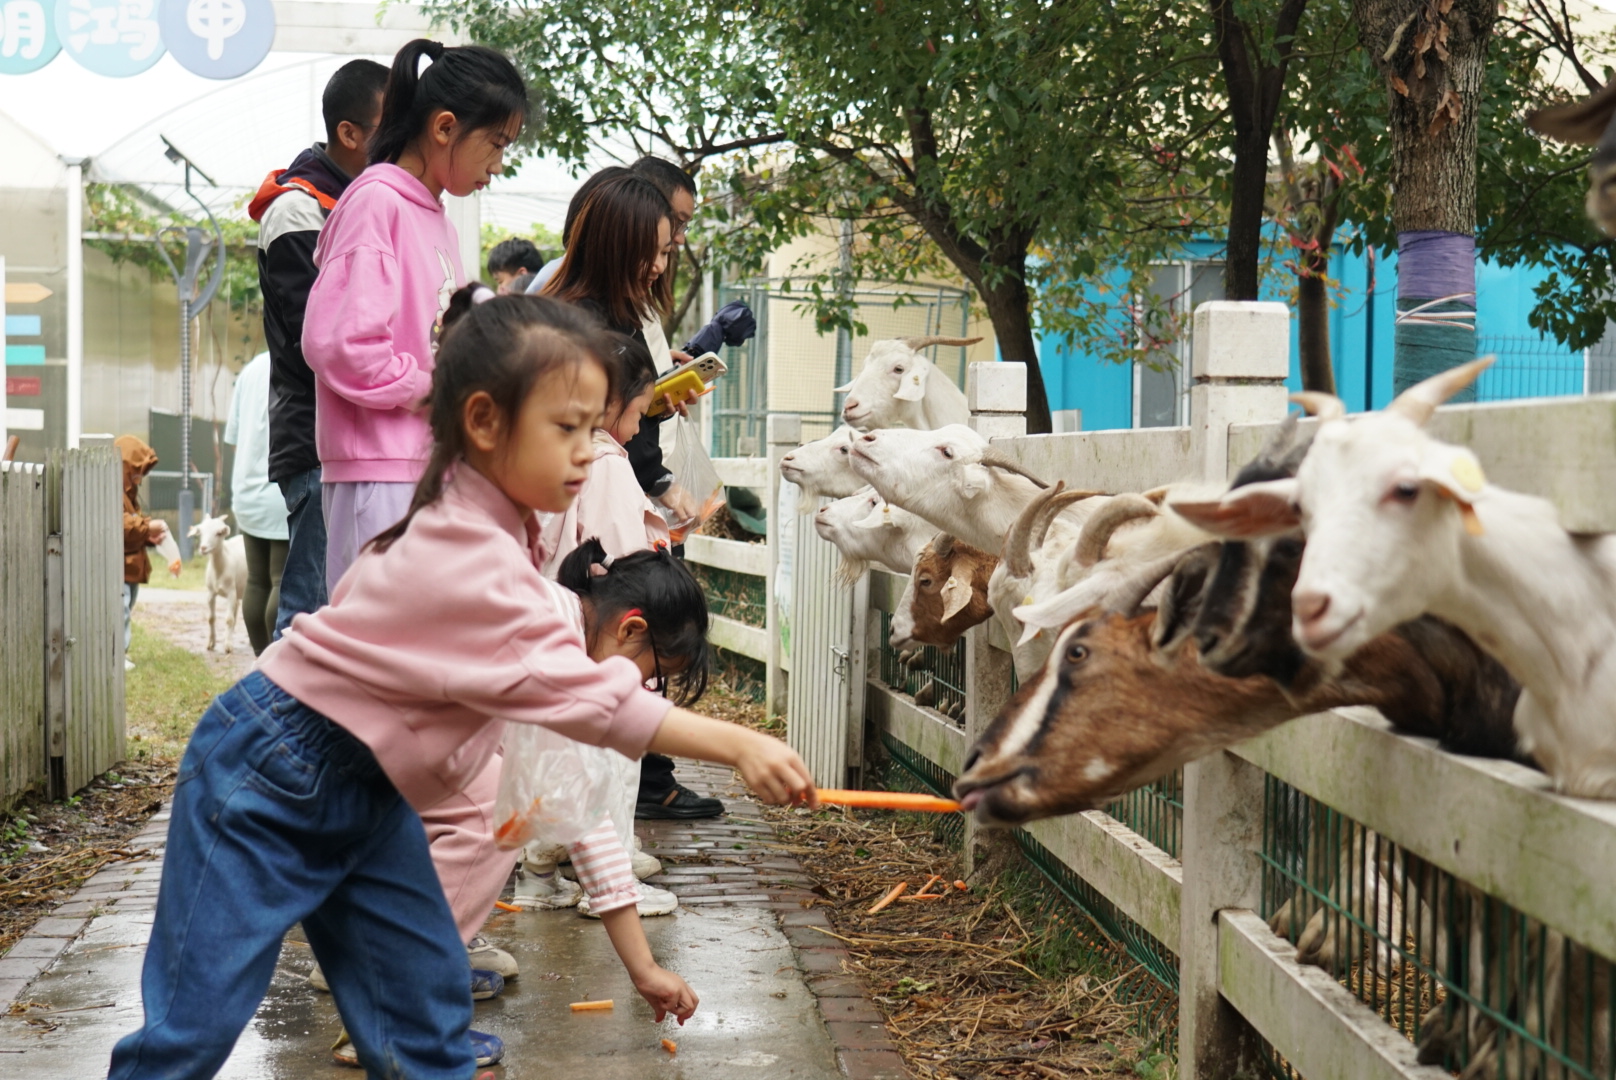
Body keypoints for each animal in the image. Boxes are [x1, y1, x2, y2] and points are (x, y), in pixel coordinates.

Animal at [188, 514, 247, 654]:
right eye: (201, 532)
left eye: (218, 533)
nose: (203, 548)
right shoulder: (211, 593)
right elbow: (211, 618)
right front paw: (211, 644)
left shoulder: (231, 593)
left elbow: (229, 619)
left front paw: (228, 646)